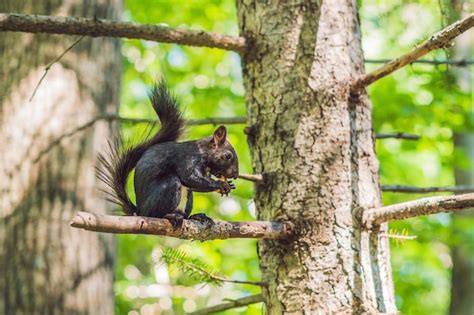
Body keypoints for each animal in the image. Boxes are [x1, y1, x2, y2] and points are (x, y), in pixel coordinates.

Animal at [96, 80, 239, 226]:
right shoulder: (188, 158)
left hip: (187, 199)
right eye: (228, 156)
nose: (235, 175)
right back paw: (171, 216)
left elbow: (195, 185)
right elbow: (189, 177)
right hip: (166, 189)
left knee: (186, 209)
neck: (203, 152)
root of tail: (139, 211)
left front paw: (228, 185)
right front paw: (221, 184)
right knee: (157, 209)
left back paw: (195, 217)